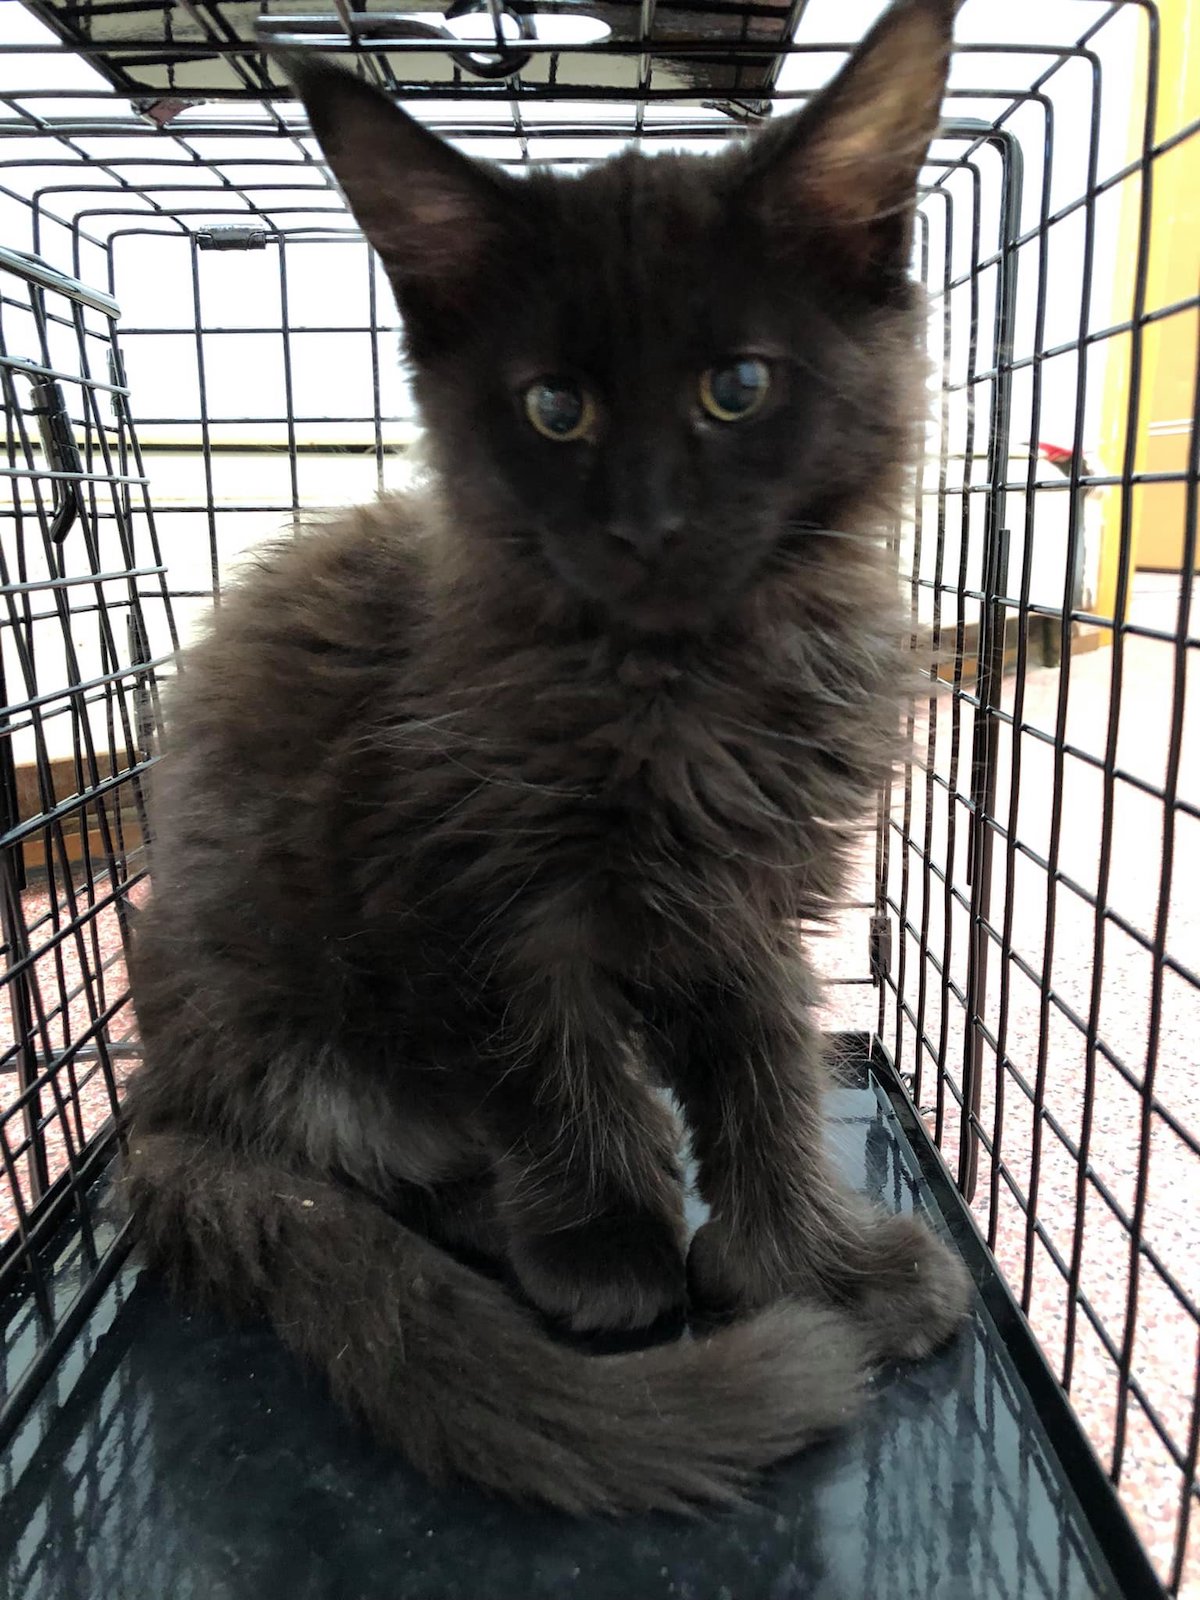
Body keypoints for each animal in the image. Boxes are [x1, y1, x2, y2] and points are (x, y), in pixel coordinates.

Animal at [122, 0, 972, 1510]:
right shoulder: (479, 892)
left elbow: (766, 1078)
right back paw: (489, 1226)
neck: (676, 684)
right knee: (356, 1160)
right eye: (554, 408)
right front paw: (609, 1250)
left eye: (737, 387)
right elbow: (560, 1076)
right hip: (281, 1017)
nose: (644, 525)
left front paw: (809, 1267)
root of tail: (159, 1108)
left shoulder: (751, 900)